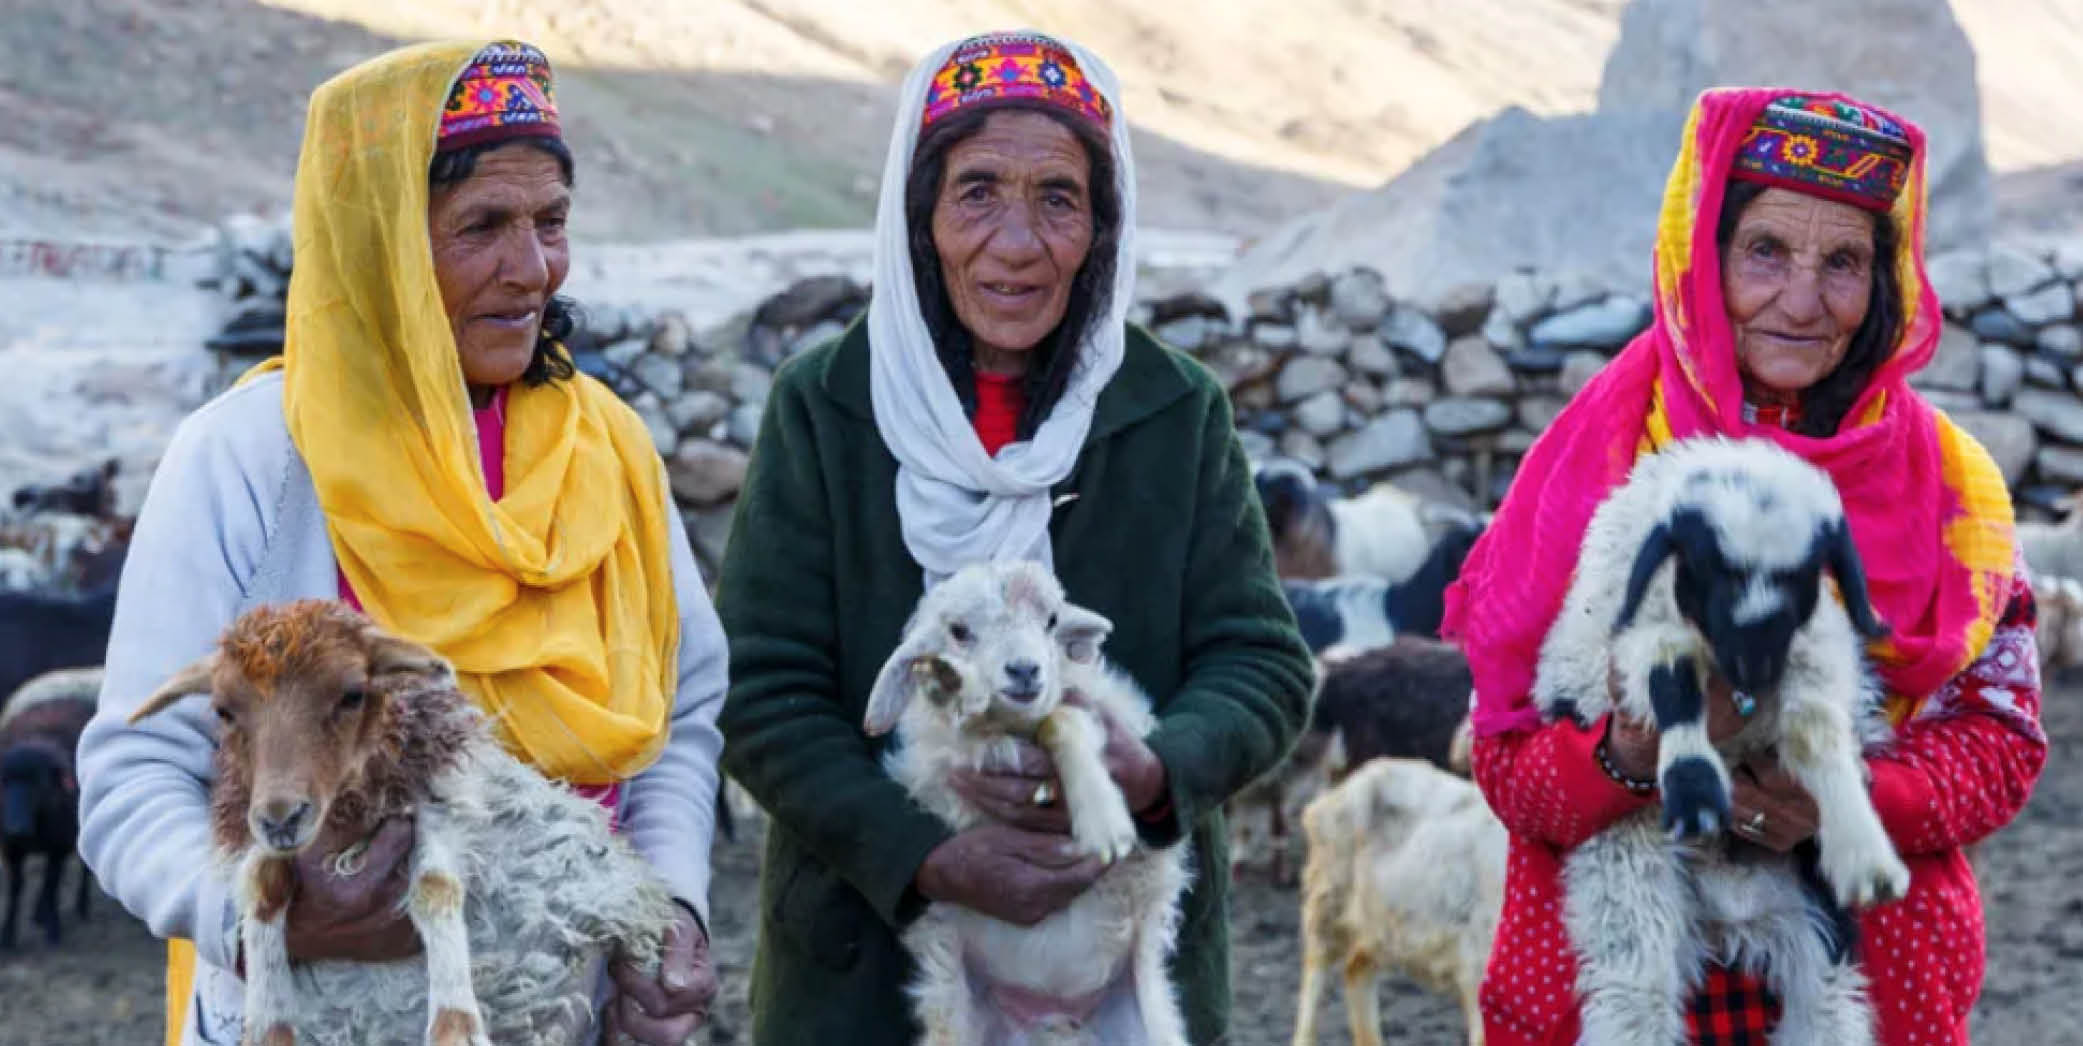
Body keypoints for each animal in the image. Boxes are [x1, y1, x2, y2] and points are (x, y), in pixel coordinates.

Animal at [126, 595, 674, 1046]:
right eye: (223, 711)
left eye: (351, 694)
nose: (282, 818)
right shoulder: (264, 835)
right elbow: (261, 893)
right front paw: (268, 1022)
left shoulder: (445, 802)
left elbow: (434, 887)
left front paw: (455, 1023)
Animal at [862, 558, 1191, 1046]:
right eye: (958, 630)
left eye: (1051, 620)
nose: (1024, 670)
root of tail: (1050, 1015)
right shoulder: (952, 756)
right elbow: (974, 724)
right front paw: (953, 687)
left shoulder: (1091, 708)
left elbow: (1063, 718)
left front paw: (1101, 816)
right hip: (958, 1015)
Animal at [1533, 435, 1908, 1046]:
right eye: (1710, 568)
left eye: (1802, 575)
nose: (1754, 664)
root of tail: (1727, 914)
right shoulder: (1640, 638)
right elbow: (1672, 682)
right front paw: (1693, 786)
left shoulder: (1814, 646)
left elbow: (1815, 729)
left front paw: (1866, 856)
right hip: (1630, 889)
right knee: (1636, 1002)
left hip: (1814, 918)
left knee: (1827, 1006)